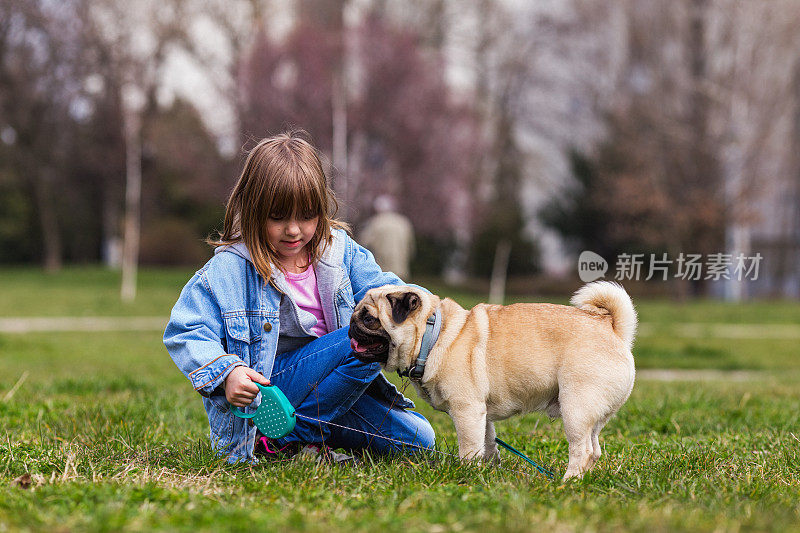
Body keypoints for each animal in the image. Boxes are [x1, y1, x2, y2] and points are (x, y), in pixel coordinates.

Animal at [350, 280, 636, 480]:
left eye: (369, 319)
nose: (351, 326)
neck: (435, 336)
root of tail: (613, 329)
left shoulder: (466, 410)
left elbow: (469, 446)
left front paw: (466, 471)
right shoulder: (481, 413)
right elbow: (487, 442)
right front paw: (489, 469)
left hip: (576, 407)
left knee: (581, 450)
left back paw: (568, 482)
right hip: (593, 414)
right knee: (594, 449)